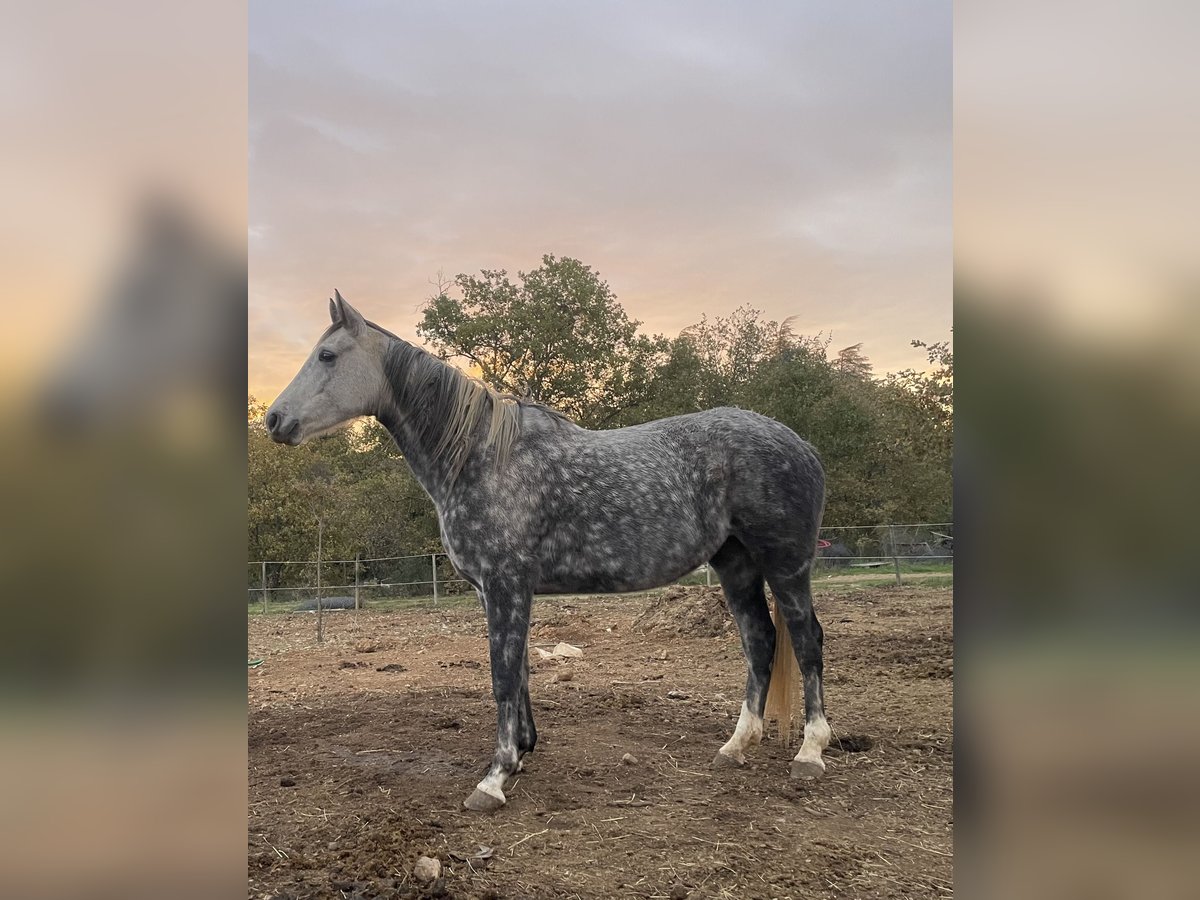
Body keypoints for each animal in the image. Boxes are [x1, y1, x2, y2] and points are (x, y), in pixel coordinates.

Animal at [270, 294, 835, 811]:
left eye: (327, 355)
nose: (275, 419)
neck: (482, 456)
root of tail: (802, 445)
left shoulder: (506, 584)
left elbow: (502, 676)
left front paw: (494, 778)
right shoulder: (497, 590)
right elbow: (518, 670)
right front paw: (521, 751)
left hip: (786, 565)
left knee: (806, 641)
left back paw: (810, 752)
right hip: (735, 564)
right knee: (760, 641)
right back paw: (735, 745)